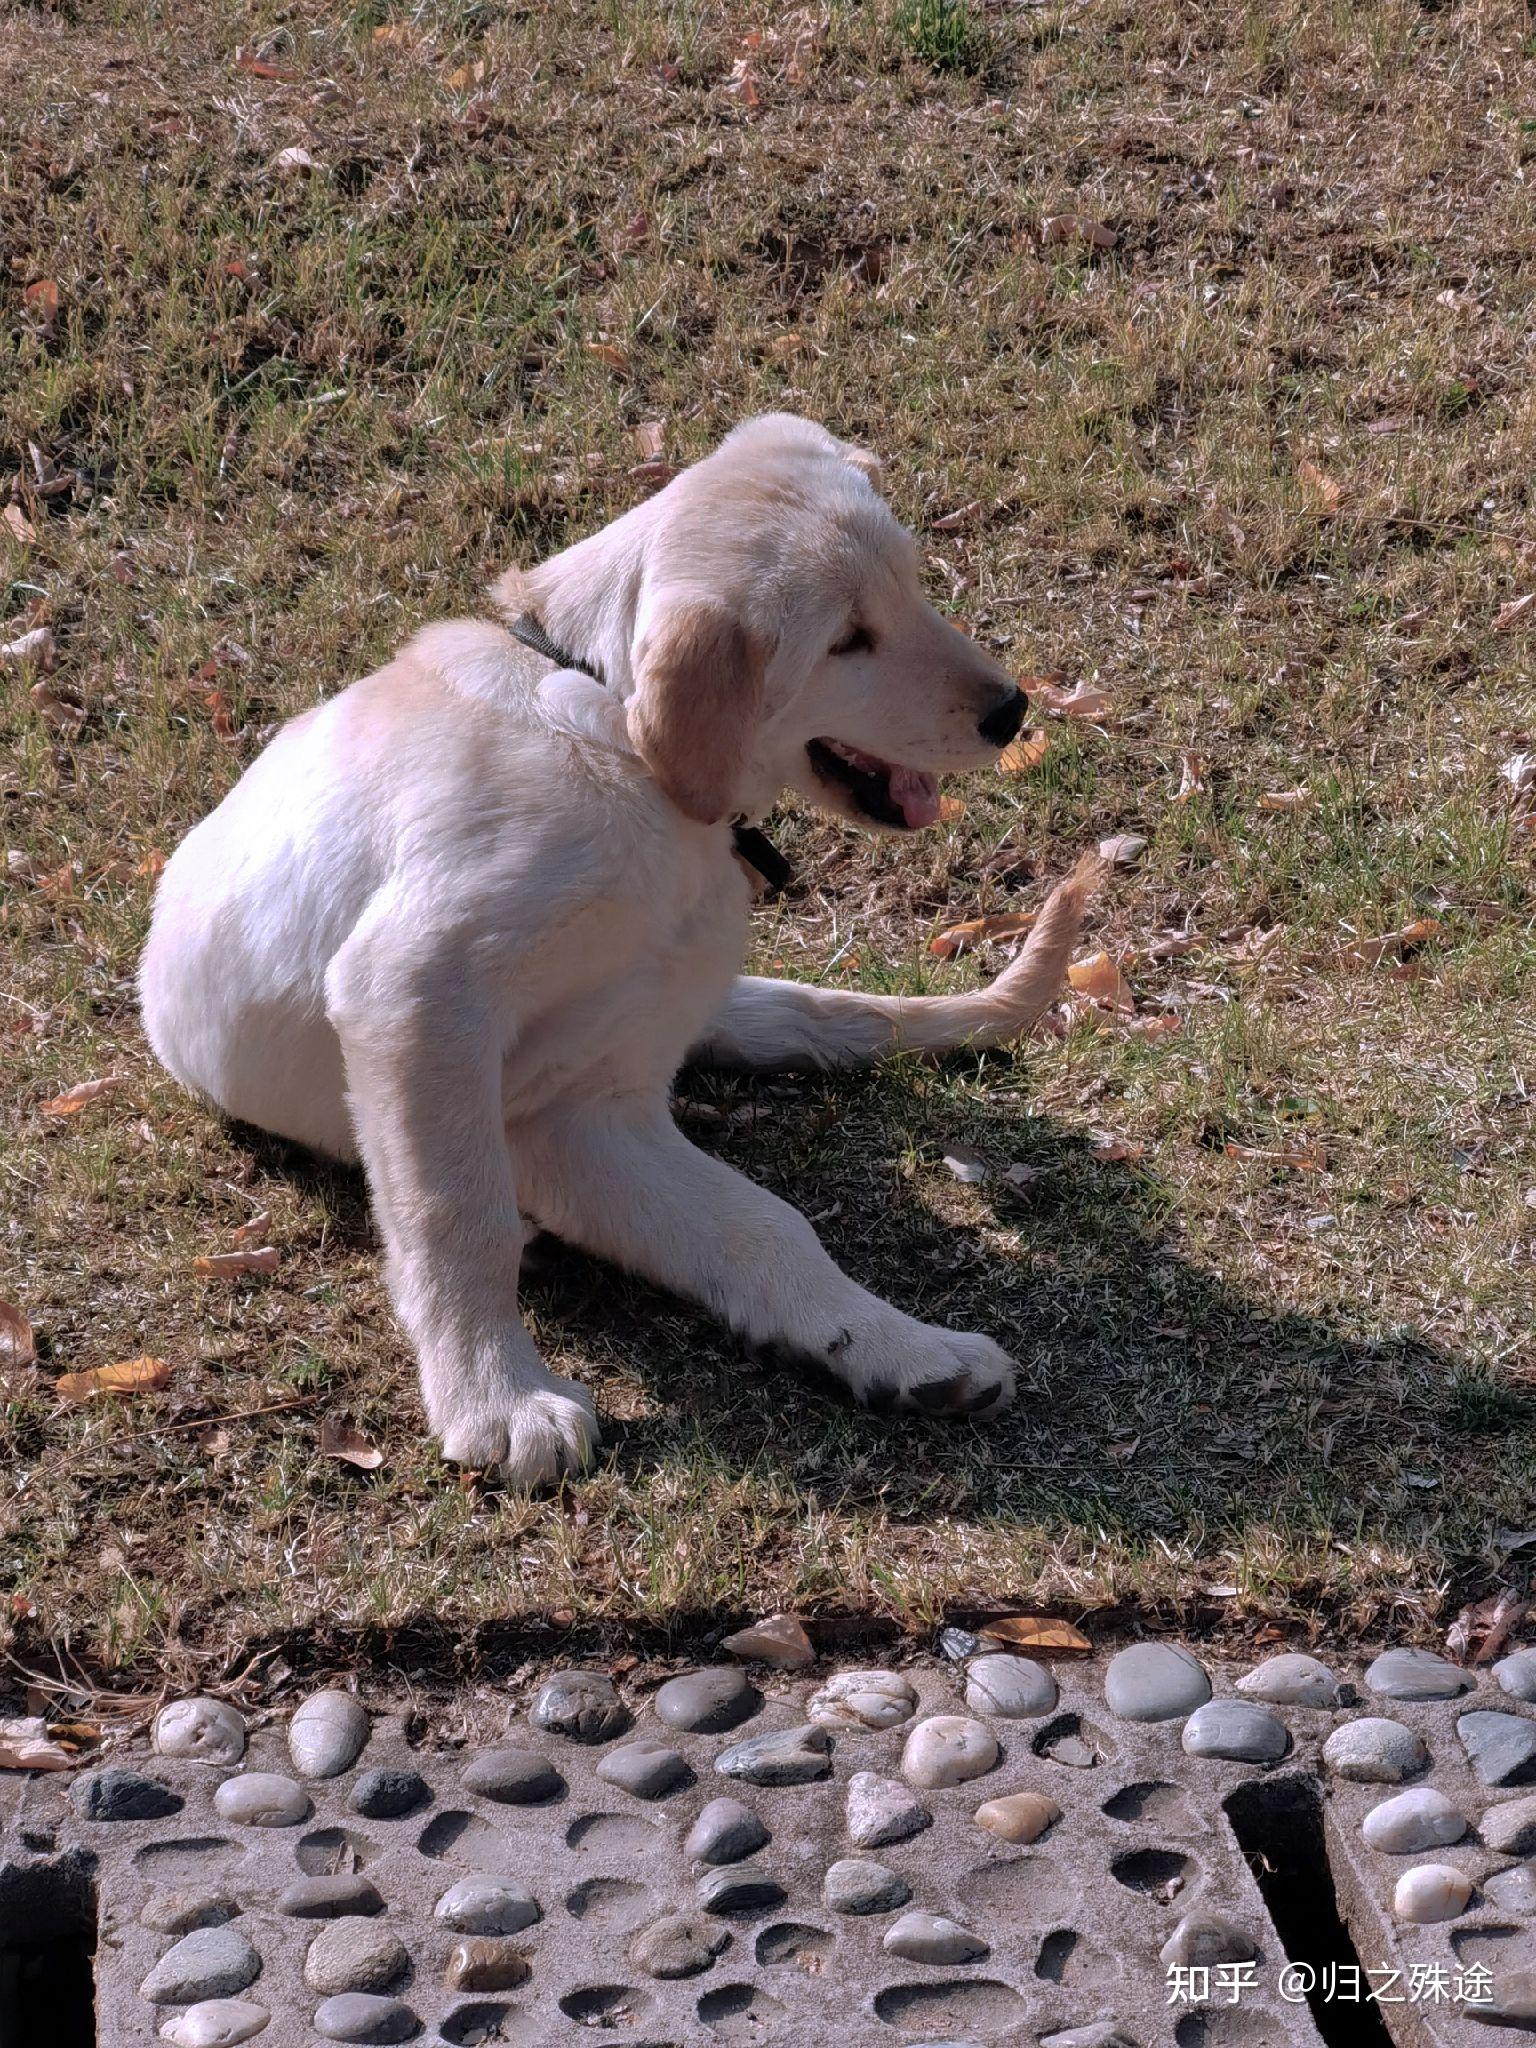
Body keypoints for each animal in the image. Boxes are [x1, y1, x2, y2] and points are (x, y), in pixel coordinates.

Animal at [144, 407, 1097, 1482]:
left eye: (911, 583)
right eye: (846, 642)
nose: (1012, 710)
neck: (615, 736)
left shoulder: (585, 1112)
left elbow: (768, 1226)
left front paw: (898, 1349)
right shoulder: (415, 995)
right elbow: (453, 1212)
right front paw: (496, 1399)